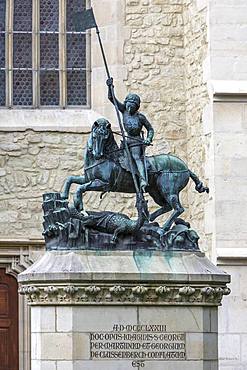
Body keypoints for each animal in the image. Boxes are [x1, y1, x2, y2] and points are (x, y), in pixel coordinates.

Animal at [60, 118, 208, 230]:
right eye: (95, 136)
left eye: (106, 136)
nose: (97, 154)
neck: (107, 157)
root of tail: (186, 168)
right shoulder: (87, 178)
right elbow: (70, 179)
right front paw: (64, 196)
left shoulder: (104, 184)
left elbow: (81, 188)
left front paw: (78, 203)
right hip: (155, 191)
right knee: (166, 206)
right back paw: (149, 219)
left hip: (169, 190)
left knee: (178, 209)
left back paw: (163, 228)